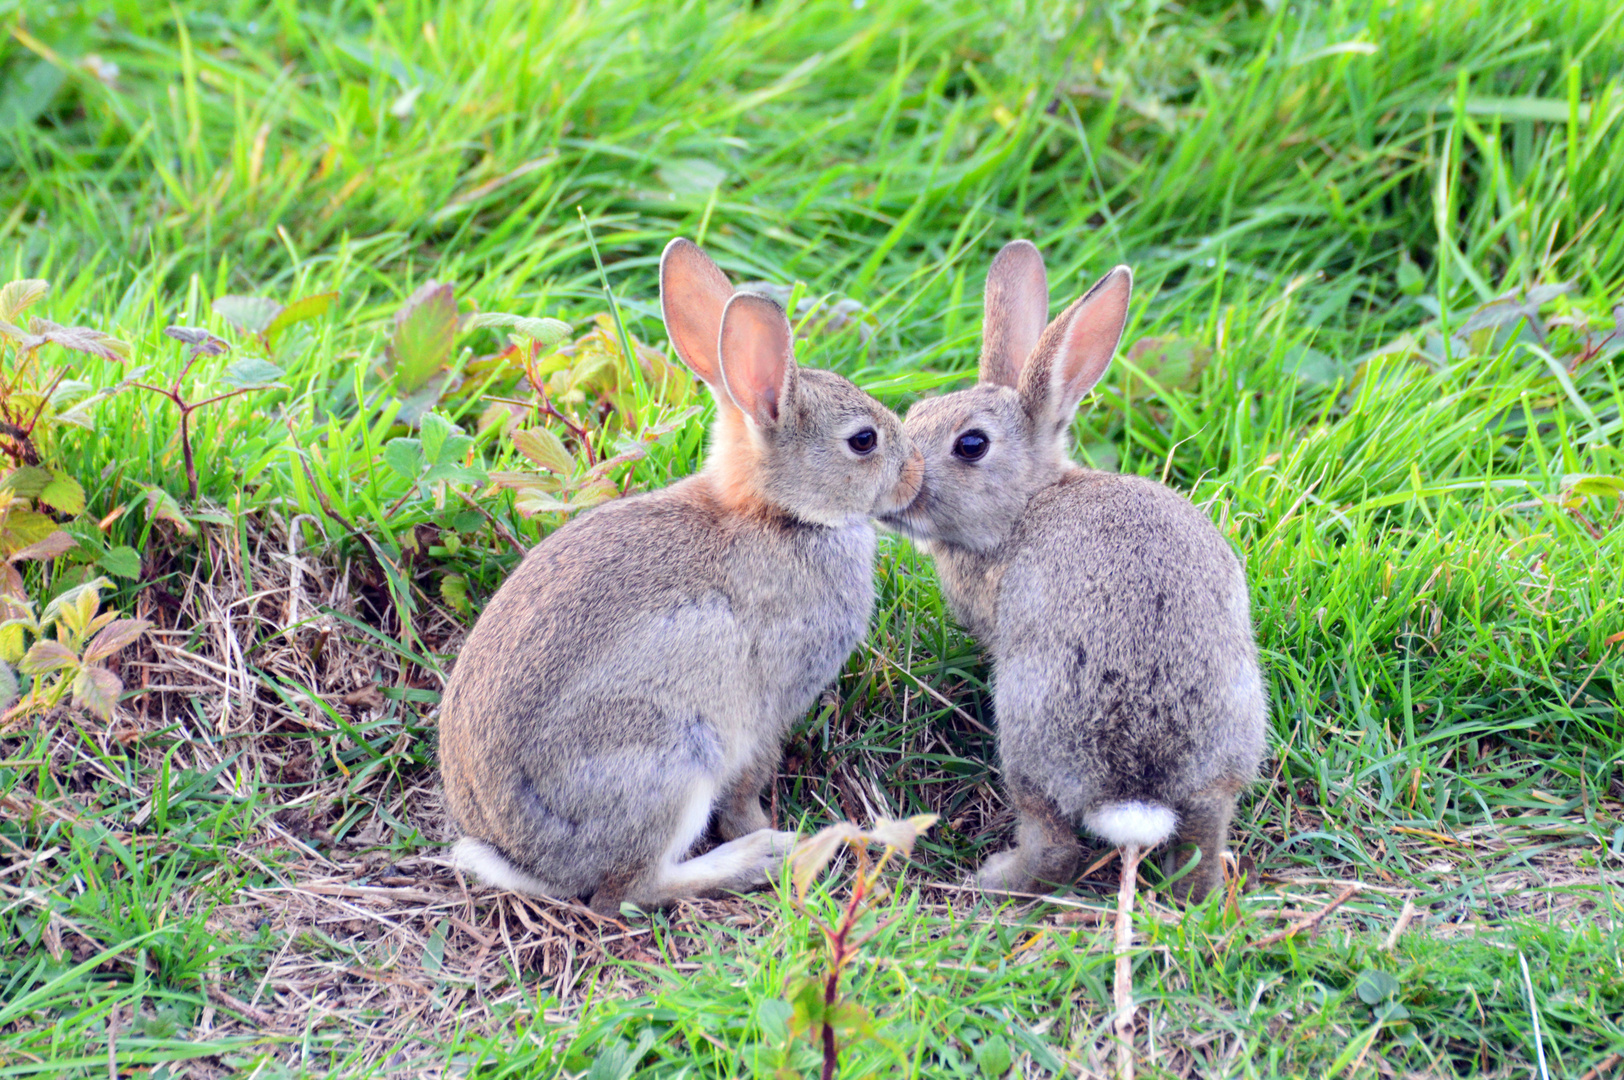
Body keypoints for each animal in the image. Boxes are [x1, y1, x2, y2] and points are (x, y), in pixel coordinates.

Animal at [441, 240, 928, 915]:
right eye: (863, 441)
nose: (917, 474)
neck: (779, 515)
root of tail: (527, 859)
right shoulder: (766, 706)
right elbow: (747, 784)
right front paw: (763, 830)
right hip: (668, 757)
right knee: (625, 892)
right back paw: (763, 856)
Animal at [876, 241, 1266, 902]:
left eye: (971, 445)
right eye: (919, 411)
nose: (892, 489)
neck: (1028, 502)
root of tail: (1136, 785)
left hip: (1030, 736)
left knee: (1054, 844)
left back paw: (994, 878)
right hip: (1228, 749)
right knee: (1200, 844)